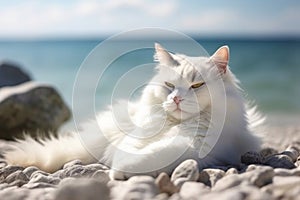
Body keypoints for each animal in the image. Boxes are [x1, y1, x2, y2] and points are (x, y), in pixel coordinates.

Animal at [4, 43, 262, 180]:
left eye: (197, 85)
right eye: (169, 85)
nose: (176, 98)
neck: (173, 124)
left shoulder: (190, 145)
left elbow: (146, 157)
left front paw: (118, 172)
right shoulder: (136, 136)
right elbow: (128, 151)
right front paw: (116, 169)